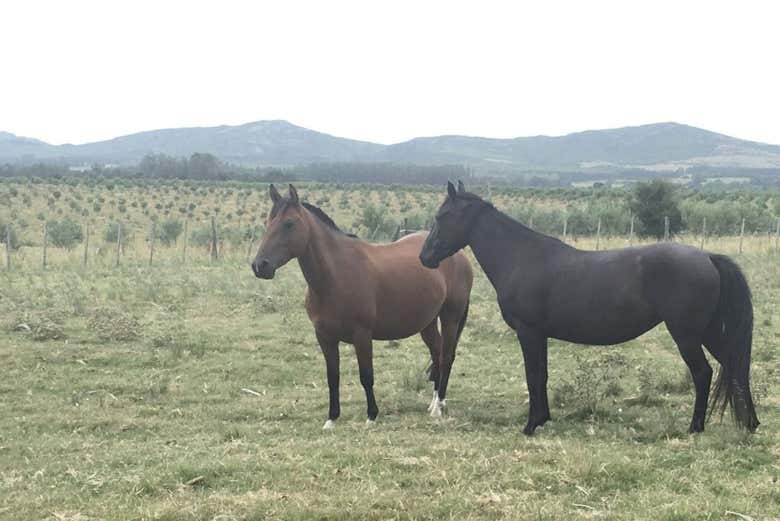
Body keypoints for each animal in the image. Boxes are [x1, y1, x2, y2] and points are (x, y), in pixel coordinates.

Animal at [252, 184, 473, 429]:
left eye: (289, 223)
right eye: (267, 222)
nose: (260, 266)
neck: (334, 276)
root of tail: (459, 255)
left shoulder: (362, 335)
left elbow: (366, 376)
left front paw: (371, 416)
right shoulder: (325, 337)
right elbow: (333, 377)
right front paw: (332, 419)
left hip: (450, 316)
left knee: (447, 356)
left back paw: (439, 407)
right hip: (428, 322)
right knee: (437, 354)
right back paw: (433, 404)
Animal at [419, 180, 759, 436]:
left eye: (442, 216)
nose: (425, 257)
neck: (521, 257)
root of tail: (707, 257)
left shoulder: (528, 332)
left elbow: (533, 374)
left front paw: (530, 425)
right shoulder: (540, 334)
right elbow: (542, 374)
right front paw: (542, 418)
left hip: (686, 334)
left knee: (703, 373)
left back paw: (695, 427)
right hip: (708, 332)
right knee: (734, 365)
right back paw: (751, 423)